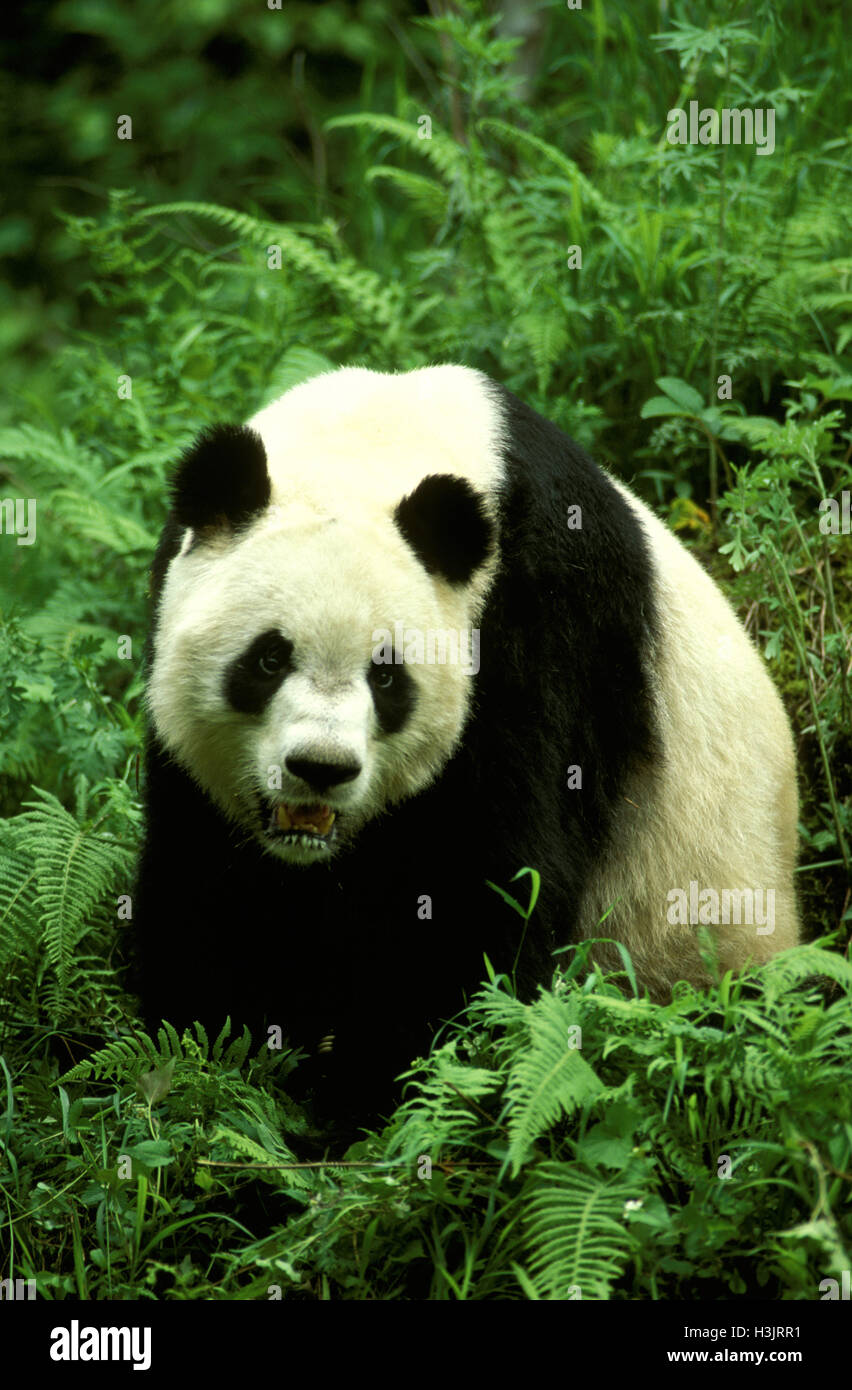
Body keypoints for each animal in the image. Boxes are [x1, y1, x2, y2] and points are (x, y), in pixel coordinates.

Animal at [127, 364, 799, 1122]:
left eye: (386, 676)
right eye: (269, 659)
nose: (320, 769)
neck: (374, 443)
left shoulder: (536, 631)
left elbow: (483, 894)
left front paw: (366, 1095)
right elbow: (207, 877)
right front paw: (215, 1058)